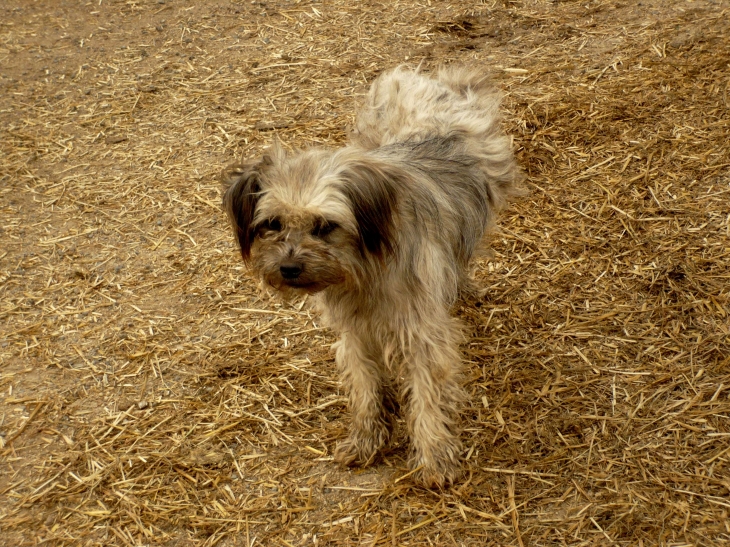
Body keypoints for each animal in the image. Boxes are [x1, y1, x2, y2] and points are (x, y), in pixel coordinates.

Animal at [219, 65, 520, 488]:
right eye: (272, 223)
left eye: (324, 226)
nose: (288, 269)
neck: (363, 270)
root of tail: (428, 79)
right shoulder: (355, 331)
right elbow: (364, 386)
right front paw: (366, 438)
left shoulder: (422, 334)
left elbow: (427, 397)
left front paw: (434, 458)